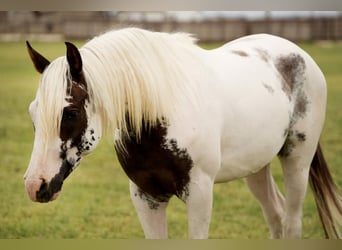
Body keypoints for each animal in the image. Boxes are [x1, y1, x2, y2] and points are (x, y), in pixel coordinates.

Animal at [24, 27, 342, 238]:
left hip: (297, 162)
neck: (162, 112)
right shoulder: (145, 197)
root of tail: (299, 54)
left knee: (291, 222)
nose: (34, 185)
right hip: (256, 167)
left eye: (70, 113)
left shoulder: (199, 194)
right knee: (275, 216)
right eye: (33, 113)